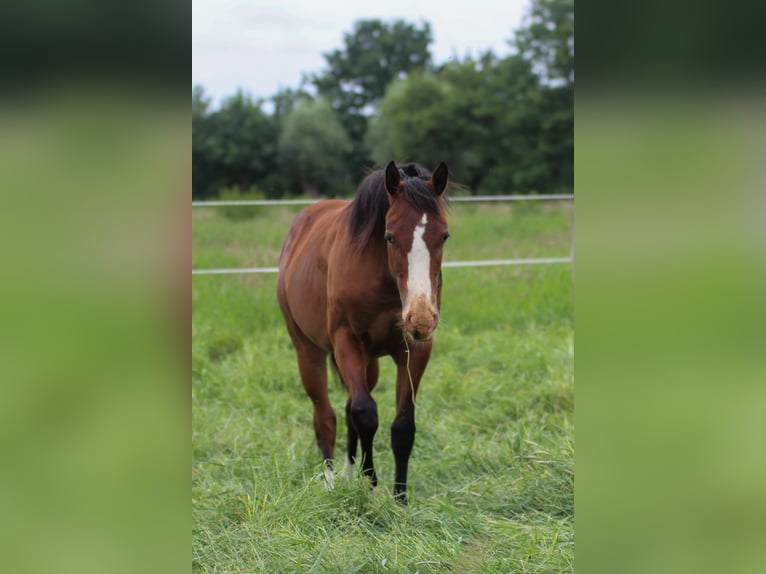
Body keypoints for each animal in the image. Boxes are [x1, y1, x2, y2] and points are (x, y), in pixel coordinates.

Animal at [277, 161, 450, 504]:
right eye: (390, 236)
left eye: (444, 236)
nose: (421, 319)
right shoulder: (347, 343)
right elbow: (366, 413)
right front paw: (370, 483)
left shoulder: (415, 351)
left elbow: (402, 426)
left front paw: (400, 499)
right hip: (309, 352)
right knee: (326, 416)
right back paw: (331, 481)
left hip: (370, 363)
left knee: (347, 411)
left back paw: (347, 474)